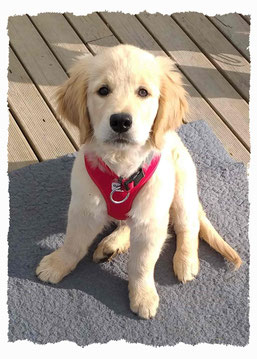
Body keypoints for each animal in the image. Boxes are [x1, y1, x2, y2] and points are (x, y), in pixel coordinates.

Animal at [35, 43, 240, 320]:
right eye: (103, 90)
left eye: (143, 92)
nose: (121, 121)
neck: (121, 171)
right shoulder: (84, 208)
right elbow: (73, 242)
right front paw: (59, 263)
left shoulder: (151, 221)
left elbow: (142, 264)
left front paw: (143, 295)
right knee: (125, 224)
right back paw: (111, 244)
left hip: (183, 189)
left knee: (188, 226)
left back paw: (186, 261)